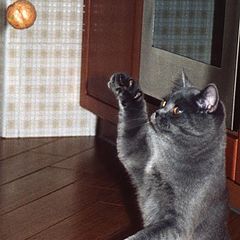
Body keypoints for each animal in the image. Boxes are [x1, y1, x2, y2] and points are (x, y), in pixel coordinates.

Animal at [108, 73, 230, 240]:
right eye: (164, 102)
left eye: (177, 110)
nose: (157, 112)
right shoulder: (135, 152)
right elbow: (132, 124)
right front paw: (126, 86)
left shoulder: (179, 223)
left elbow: (148, 234)